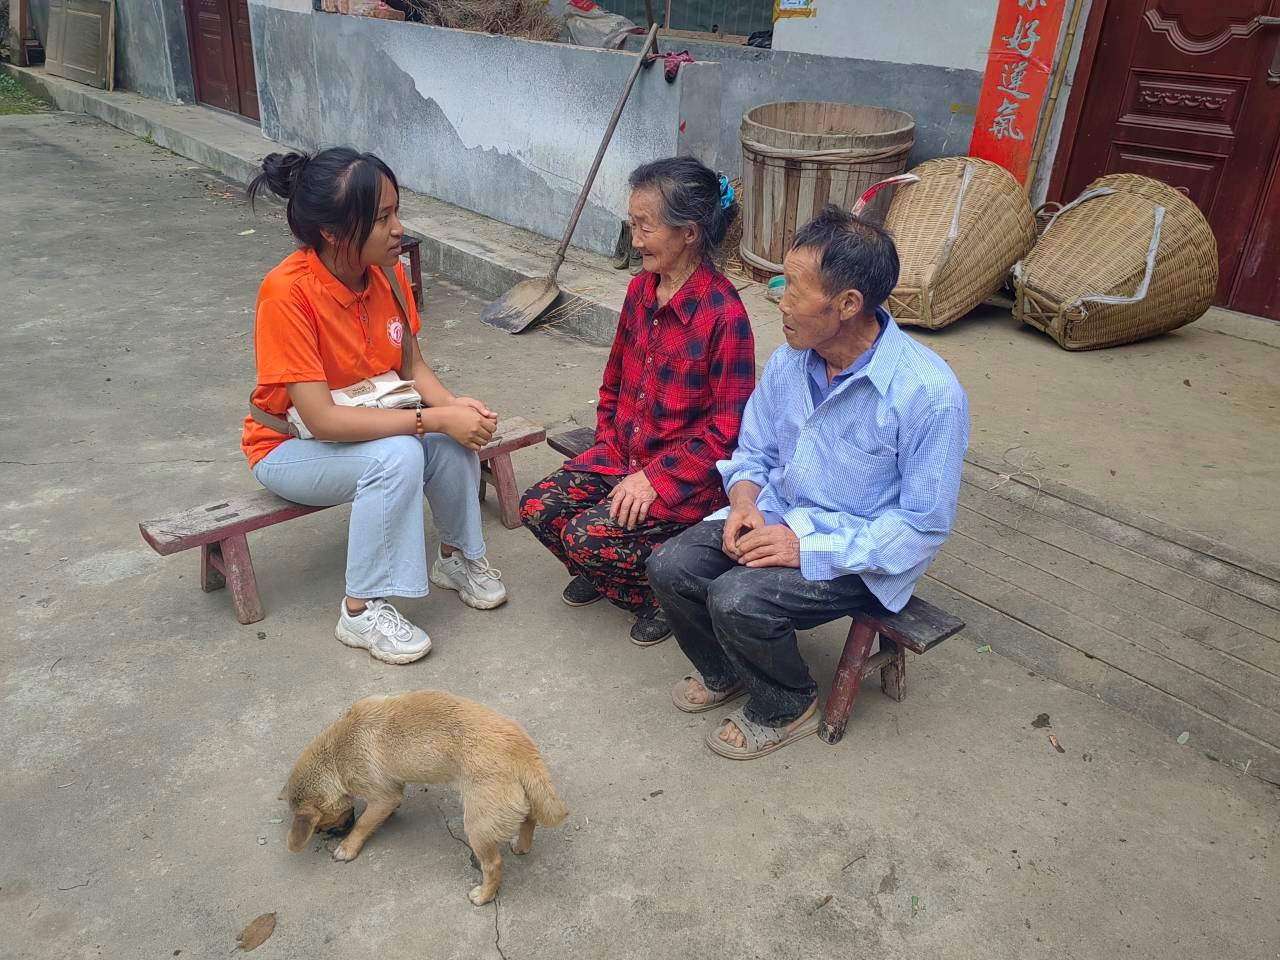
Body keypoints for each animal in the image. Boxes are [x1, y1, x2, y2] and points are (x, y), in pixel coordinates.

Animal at [281, 690, 567, 905]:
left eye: (323, 826)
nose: (338, 831)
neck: (337, 751)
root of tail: (521, 749)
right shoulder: (391, 791)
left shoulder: (382, 796)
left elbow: (364, 822)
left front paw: (348, 845)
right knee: (529, 819)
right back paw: (522, 846)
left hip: (478, 825)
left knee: (493, 864)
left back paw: (484, 896)